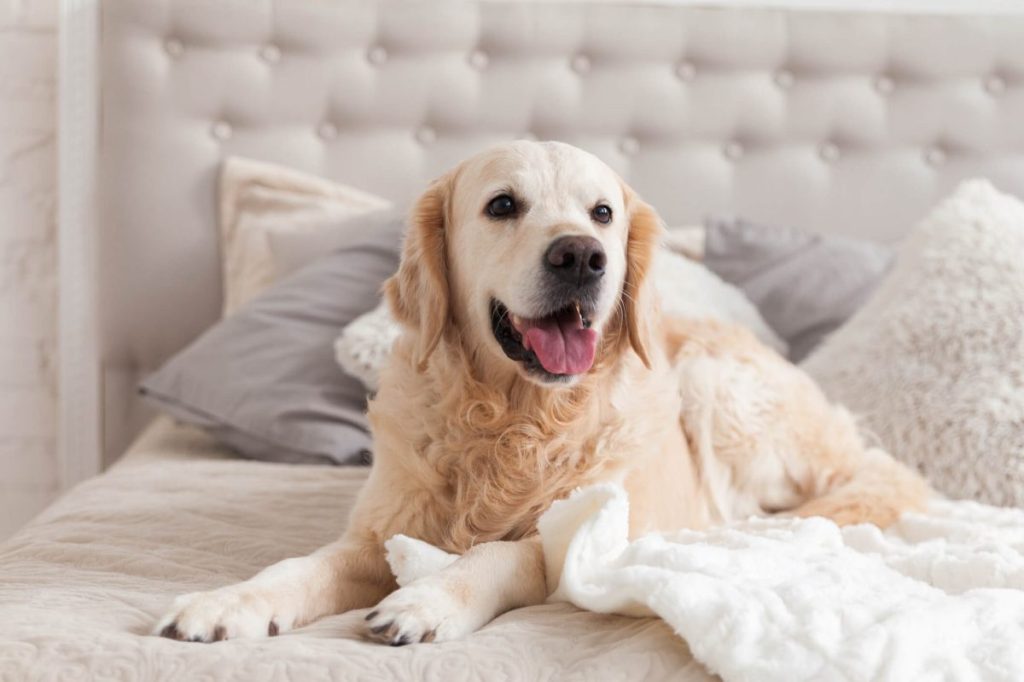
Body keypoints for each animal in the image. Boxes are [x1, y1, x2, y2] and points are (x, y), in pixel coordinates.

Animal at [153, 139, 929, 643]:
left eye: (602, 214)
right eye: (502, 205)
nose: (581, 256)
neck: (514, 417)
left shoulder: (583, 537)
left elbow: (502, 553)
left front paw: (428, 600)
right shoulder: (379, 530)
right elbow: (301, 566)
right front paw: (228, 603)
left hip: (717, 386)